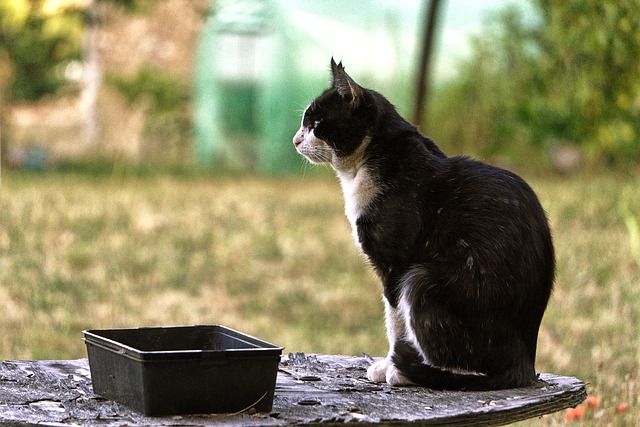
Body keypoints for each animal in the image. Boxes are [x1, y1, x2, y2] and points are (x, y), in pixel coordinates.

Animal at [294, 58, 556, 392]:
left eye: (316, 124)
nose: (295, 139)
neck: (367, 165)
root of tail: (525, 364)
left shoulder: (395, 265)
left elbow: (395, 322)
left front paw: (389, 367)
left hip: (422, 280)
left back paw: (412, 372)